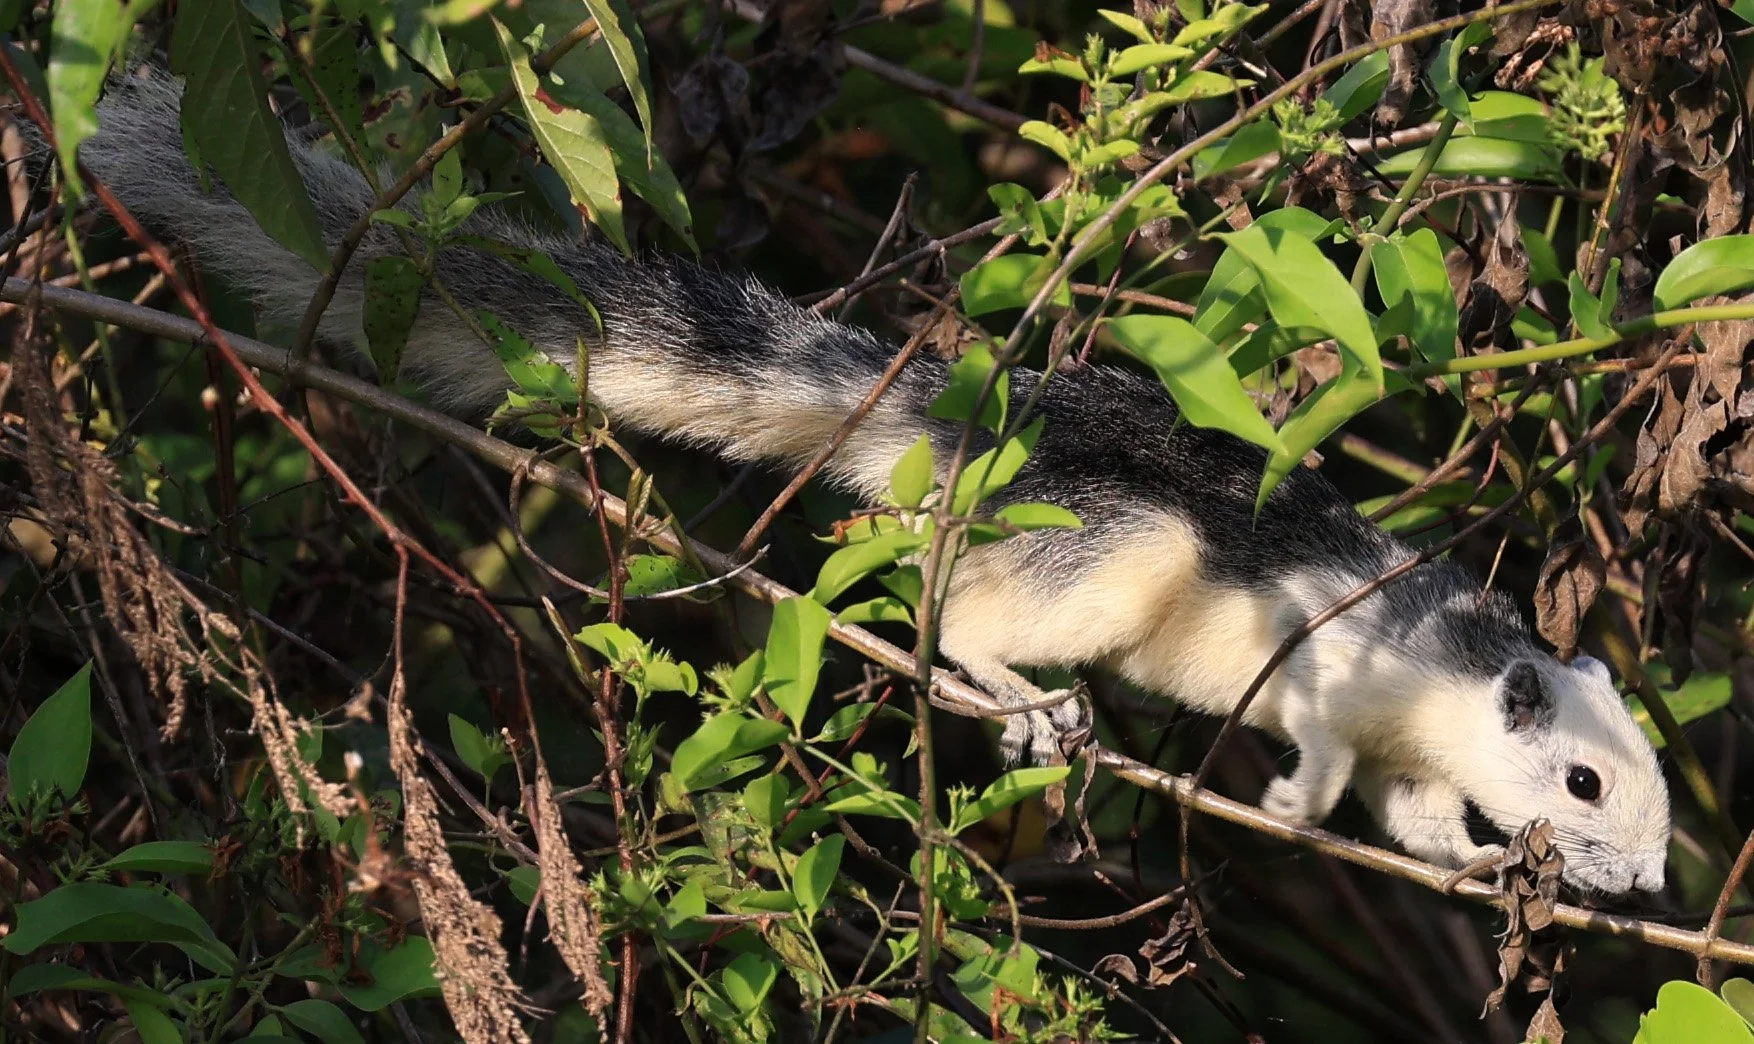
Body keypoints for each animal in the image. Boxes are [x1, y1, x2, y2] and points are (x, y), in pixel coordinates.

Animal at [63, 64, 1671, 895]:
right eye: (1583, 779)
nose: (1650, 883)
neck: (1449, 674)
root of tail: (951, 419)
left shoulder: (1419, 755)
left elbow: (1410, 815)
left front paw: (1471, 866)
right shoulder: (1336, 659)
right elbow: (1330, 758)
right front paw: (1289, 806)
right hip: (1111, 549)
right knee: (949, 608)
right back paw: (1030, 706)